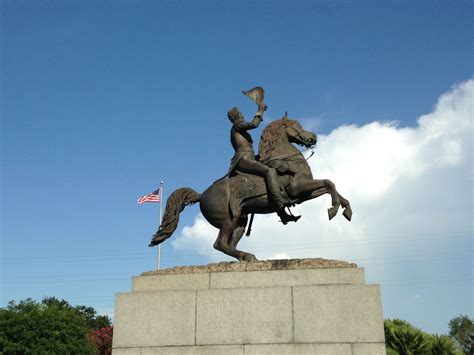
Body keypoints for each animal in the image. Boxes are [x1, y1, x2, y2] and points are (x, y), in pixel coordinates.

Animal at [149, 114, 352, 262]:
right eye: (297, 125)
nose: (313, 137)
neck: (288, 160)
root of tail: (202, 195)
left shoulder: (305, 192)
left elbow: (331, 186)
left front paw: (346, 210)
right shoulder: (298, 189)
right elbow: (329, 183)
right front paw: (333, 210)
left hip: (241, 220)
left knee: (228, 244)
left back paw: (247, 258)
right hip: (228, 220)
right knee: (220, 243)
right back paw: (248, 256)